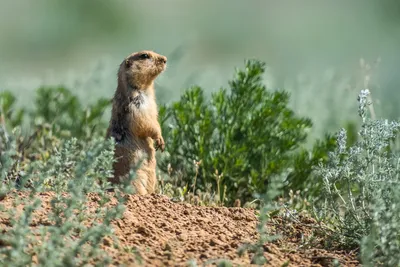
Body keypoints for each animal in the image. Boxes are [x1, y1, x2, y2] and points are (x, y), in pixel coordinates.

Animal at [105, 50, 166, 196]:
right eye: (145, 56)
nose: (165, 59)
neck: (145, 90)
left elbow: (155, 120)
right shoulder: (136, 105)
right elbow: (144, 123)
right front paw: (159, 140)